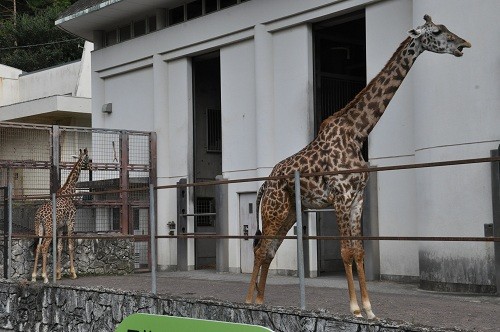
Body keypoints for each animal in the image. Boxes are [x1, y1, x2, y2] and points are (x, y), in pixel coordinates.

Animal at [31, 148, 90, 282]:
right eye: (89, 158)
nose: (92, 166)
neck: (69, 193)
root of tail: (39, 215)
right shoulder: (71, 222)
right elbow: (70, 245)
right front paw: (73, 273)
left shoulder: (60, 227)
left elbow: (59, 247)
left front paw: (58, 274)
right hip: (49, 229)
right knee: (44, 247)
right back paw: (45, 277)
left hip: (39, 228)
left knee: (38, 246)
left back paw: (33, 276)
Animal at [248, 15, 470, 320]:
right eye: (437, 32)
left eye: (448, 29)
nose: (463, 44)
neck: (357, 133)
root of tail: (264, 184)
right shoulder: (341, 197)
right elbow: (345, 251)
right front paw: (354, 308)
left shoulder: (357, 198)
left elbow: (359, 251)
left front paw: (369, 309)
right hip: (275, 211)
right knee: (260, 249)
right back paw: (248, 301)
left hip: (289, 214)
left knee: (269, 250)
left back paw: (260, 301)